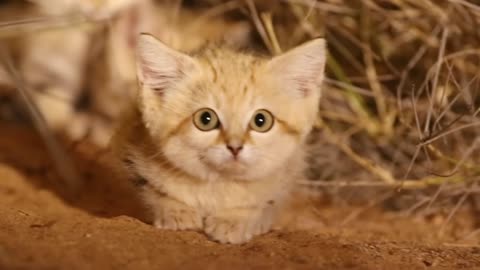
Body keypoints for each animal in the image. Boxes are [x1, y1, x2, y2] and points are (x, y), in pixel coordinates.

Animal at [110, 33, 324, 243]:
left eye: (261, 120)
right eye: (206, 119)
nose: (235, 147)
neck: (218, 187)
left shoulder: (285, 179)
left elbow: (262, 204)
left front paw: (233, 220)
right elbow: (151, 193)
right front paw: (177, 212)